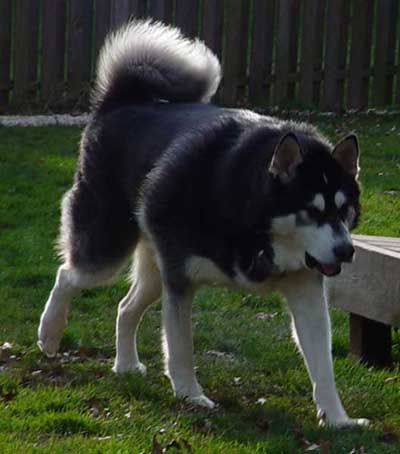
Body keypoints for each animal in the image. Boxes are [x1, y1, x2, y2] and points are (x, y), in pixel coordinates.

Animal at [38, 19, 368, 428]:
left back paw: (126, 364)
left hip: (154, 268)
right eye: (312, 210)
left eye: (344, 210)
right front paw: (190, 393)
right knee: (68, 275)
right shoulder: (180, 280)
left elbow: (322, 363)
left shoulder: (305, 287)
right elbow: (181, 345)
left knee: (125, 307)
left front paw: (337, 418)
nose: (346, 251)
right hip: (107, 250)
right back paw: (50, 334)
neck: (250, 216)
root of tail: (122, 101)